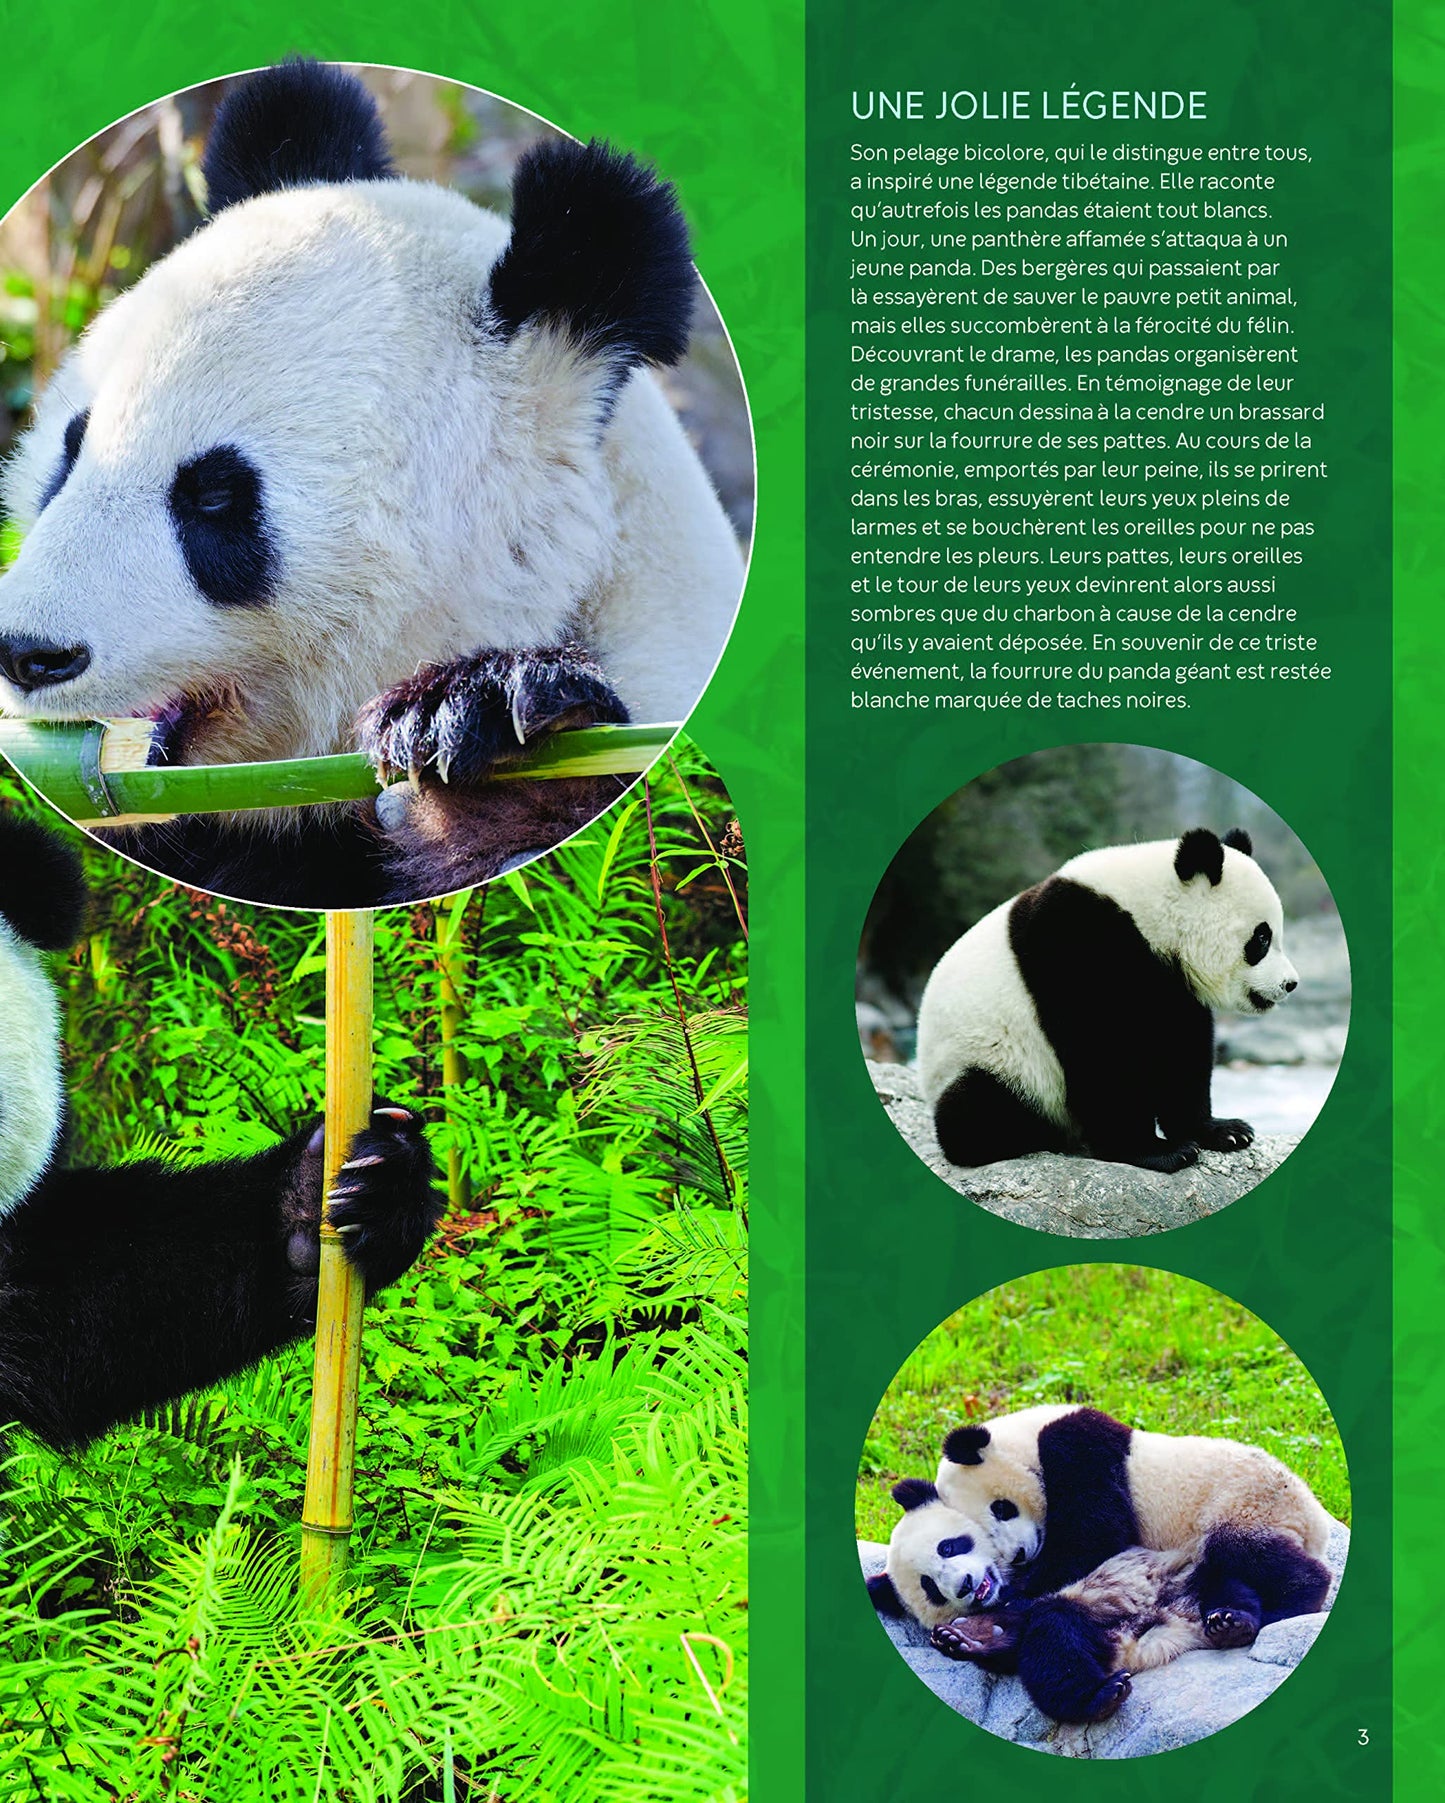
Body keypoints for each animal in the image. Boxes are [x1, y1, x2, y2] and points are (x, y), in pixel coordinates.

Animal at [867, 1405, 1333, 1655]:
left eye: (1001, 1508)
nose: (1019, 1556)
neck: (1024, 1436)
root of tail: (1314, 1519)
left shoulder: (1076, 1448)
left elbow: (1096, 1533)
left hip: (1246, 1499)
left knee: (1241, 1548)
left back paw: (1295, 1599)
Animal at [914, 827, 1300, 1174]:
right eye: (1261, 939)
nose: (1290, 983)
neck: (1150, 913)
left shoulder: (1172, 984)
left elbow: (1181, 1048)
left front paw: (1224, 1131)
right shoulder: (1079, 940)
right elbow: (1103, 1051)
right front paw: (1157, 1151)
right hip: (993, 1061)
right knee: (978, 1109)